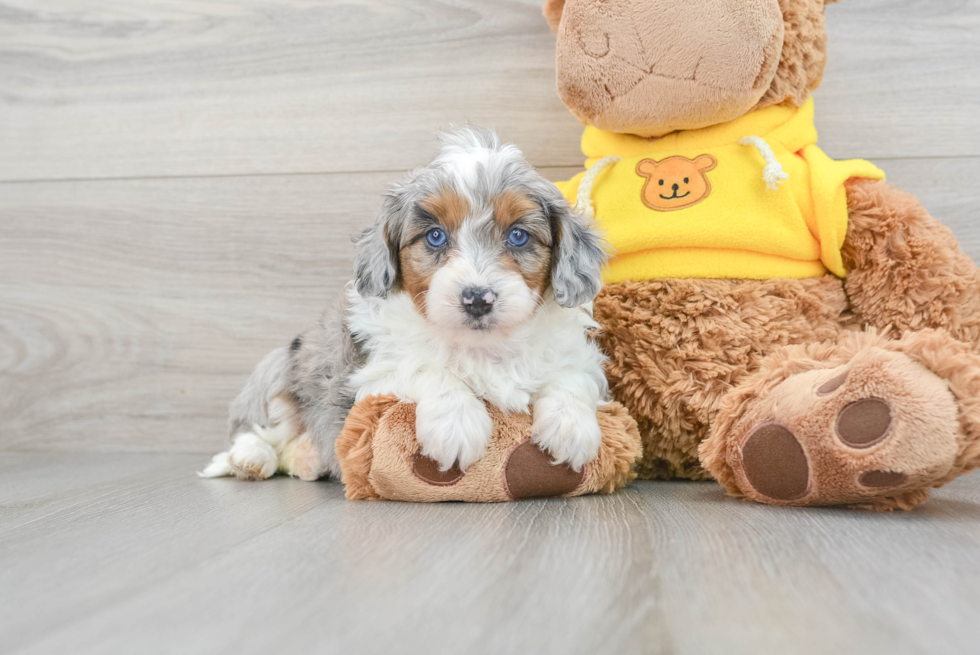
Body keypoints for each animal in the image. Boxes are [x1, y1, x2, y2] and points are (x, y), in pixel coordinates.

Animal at [203, 128, 608, 484]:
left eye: (518, 236)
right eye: (435, 236)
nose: (478, 299)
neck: (483, 346)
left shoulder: (578, 356)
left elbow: (571, 374)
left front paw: (571, 426)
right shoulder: (371, 374)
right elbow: (426, 367)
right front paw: (456, 424)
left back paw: (307, 458)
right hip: (281, 367)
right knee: (257, 430)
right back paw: (250, 458)